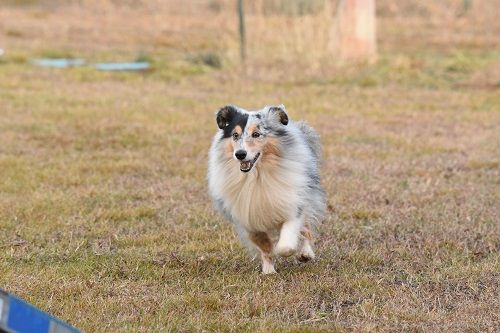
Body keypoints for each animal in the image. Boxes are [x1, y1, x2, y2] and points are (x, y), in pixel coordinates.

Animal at [206, 104, 326, 272]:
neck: (257, 175)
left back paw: (305, 254)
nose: (240, 154)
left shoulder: (292, 203)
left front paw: (287, 250)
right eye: (235, 135)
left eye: (256, 134)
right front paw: (269, 270)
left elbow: (286, 243)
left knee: (307, 227)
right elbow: (264, 246)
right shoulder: (248, 217)